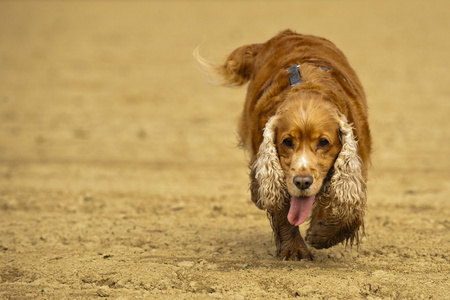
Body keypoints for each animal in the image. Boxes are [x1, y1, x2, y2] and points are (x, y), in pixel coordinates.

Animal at [195, 29, 370, 260]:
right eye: (287, 141)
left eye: (324, 142)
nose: (302, 182)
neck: (308, 89)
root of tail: (285, 34)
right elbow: (283, 212)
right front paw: (294, 249)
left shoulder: (358, 164)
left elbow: (350, 212)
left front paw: (322, 234)